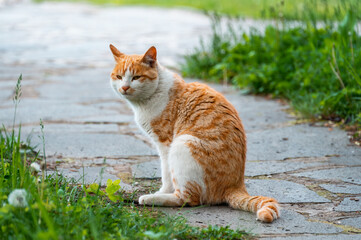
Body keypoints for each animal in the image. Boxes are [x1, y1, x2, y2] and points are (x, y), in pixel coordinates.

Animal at [108, 44, 280, 222]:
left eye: (136, 77)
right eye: (119, 77)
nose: (124, 87)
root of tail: (236, 185)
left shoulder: (165, 144)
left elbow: (166, 174)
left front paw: (162, 191)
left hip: (182, 144)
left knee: (188, 198)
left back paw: (151, 199)